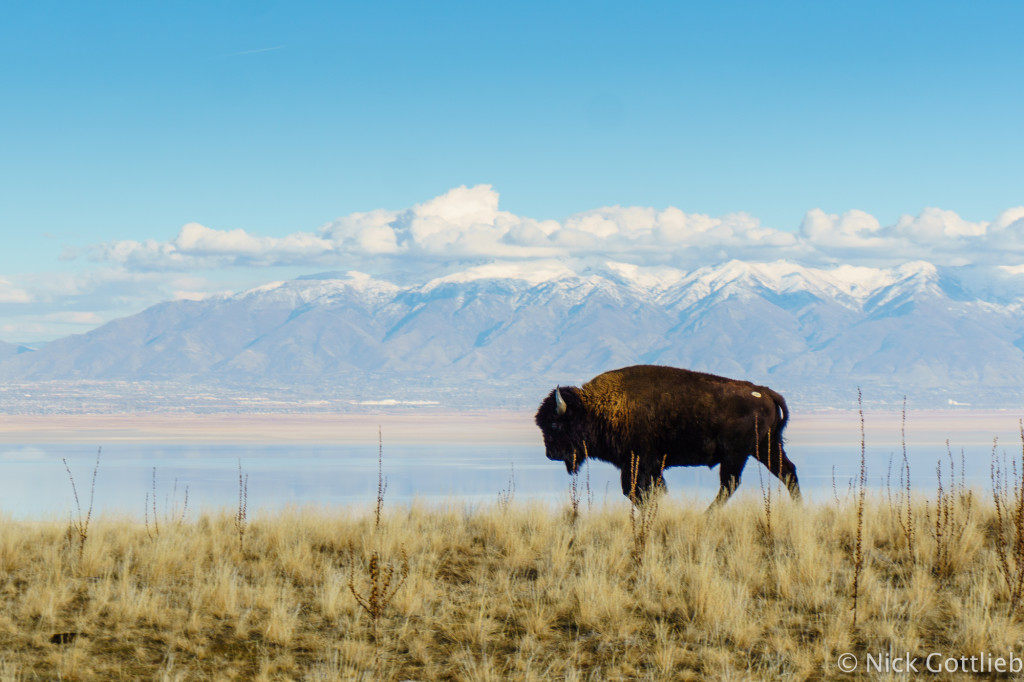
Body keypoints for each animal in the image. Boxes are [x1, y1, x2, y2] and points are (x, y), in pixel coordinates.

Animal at [536, 366, 798, 503]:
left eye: (554, 424)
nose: (550, 454)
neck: (597, 408)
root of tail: (763, 391)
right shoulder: (646, 467)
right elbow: (647, 491)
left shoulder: (640, 463)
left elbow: (635, 491)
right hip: (763, 448)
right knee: (787, 472)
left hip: (737, 454)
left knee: (729, 484)